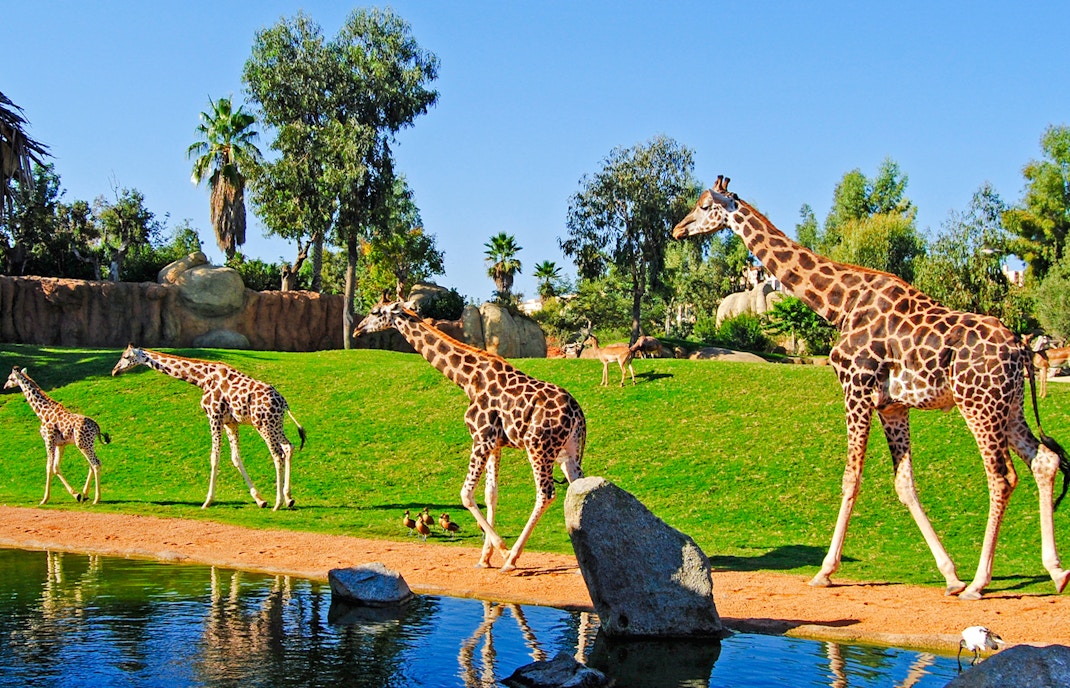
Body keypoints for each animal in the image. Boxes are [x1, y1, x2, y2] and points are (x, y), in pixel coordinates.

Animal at [4, 366, 107, 505]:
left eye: (10, 378)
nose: (5, 386)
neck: (42, 413)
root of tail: (96, 426)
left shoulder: (48, 440)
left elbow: (48, 467)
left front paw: (44, 499)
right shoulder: (60, 444)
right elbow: (56, 467)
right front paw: (76, 495)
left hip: (83, 444)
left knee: (96, 464)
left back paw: (96, 499)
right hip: (86, 444)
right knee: (92, 464)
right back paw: (85, 495)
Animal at [110, 345, 306, 511]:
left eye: (126, 356)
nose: (114, 371)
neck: (202, 379)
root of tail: (283, 402)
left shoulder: (214, 416)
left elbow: (214, 457)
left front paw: (207, 501)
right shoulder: (230, 422)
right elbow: (235, 457)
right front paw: (259, 500)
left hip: (263, 424)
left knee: (277, 454)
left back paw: (278, 503)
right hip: (276, 424)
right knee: (288, 447)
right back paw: (288, 498)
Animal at [354, 296, 586, 572]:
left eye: (374, 312)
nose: (357, 330)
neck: (467, 380)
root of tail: (578, 413)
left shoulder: (481, 437)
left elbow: (466, 494)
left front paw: (502, 550)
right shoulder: (495, 444)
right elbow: (491, 494)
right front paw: (485, 558)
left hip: (539, 448)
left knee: (546, 494)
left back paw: (513, 558)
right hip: (567, 452)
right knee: (579, 488)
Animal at [673, 175, 1070, 600]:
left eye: (703, 205)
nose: (678, 228)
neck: (840, 303)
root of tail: (1020, 347)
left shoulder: (855, 387)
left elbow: (851, 477)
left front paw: (824, 571)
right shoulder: (892, 406)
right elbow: (905, 483)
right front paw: (949, 575)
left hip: (978, 404)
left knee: (1001, 477)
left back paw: (980, 582)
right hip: (1009, 406)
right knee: (1044, 461)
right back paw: (1056, 571)